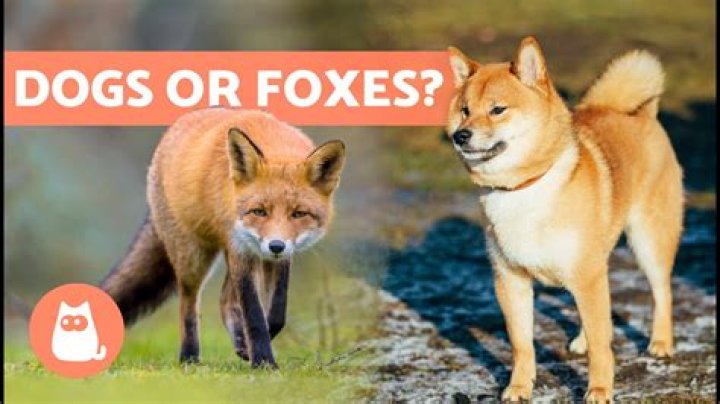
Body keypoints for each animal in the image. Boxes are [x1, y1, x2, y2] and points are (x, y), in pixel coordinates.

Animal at [100, 108, 346, 368]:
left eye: (298, 214)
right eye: (259, 211)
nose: (276, 245)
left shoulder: (276, 257)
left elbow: (277, 312)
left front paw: (253, 348)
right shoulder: (240, 248)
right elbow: (254, 315)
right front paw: (264, 362)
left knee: (224, 300)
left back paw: (238, 342)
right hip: (193, 256)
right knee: (188, 303)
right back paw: (189, 357)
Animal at [446, 37, 683, 402]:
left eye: (498, 110)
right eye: (465, 110)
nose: (460, 135)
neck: (522, 189)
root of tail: (645, 114)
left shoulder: (585, 274)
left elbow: (602, 347)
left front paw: (599, 390)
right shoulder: (511, 279)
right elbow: (522, 344)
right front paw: (518, 387)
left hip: (647, 242)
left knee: (661, 292)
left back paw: (660, 342)